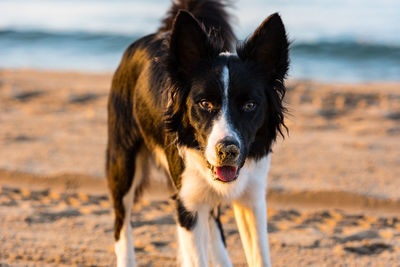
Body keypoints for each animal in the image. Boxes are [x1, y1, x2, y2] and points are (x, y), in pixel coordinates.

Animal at [105, 0, 288, 266]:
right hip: (122, 162)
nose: (227, 151)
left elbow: (259, 256)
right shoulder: (188, 203)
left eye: (249, 105)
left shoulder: (252, 198)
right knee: (122, 222)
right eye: (204, 103)